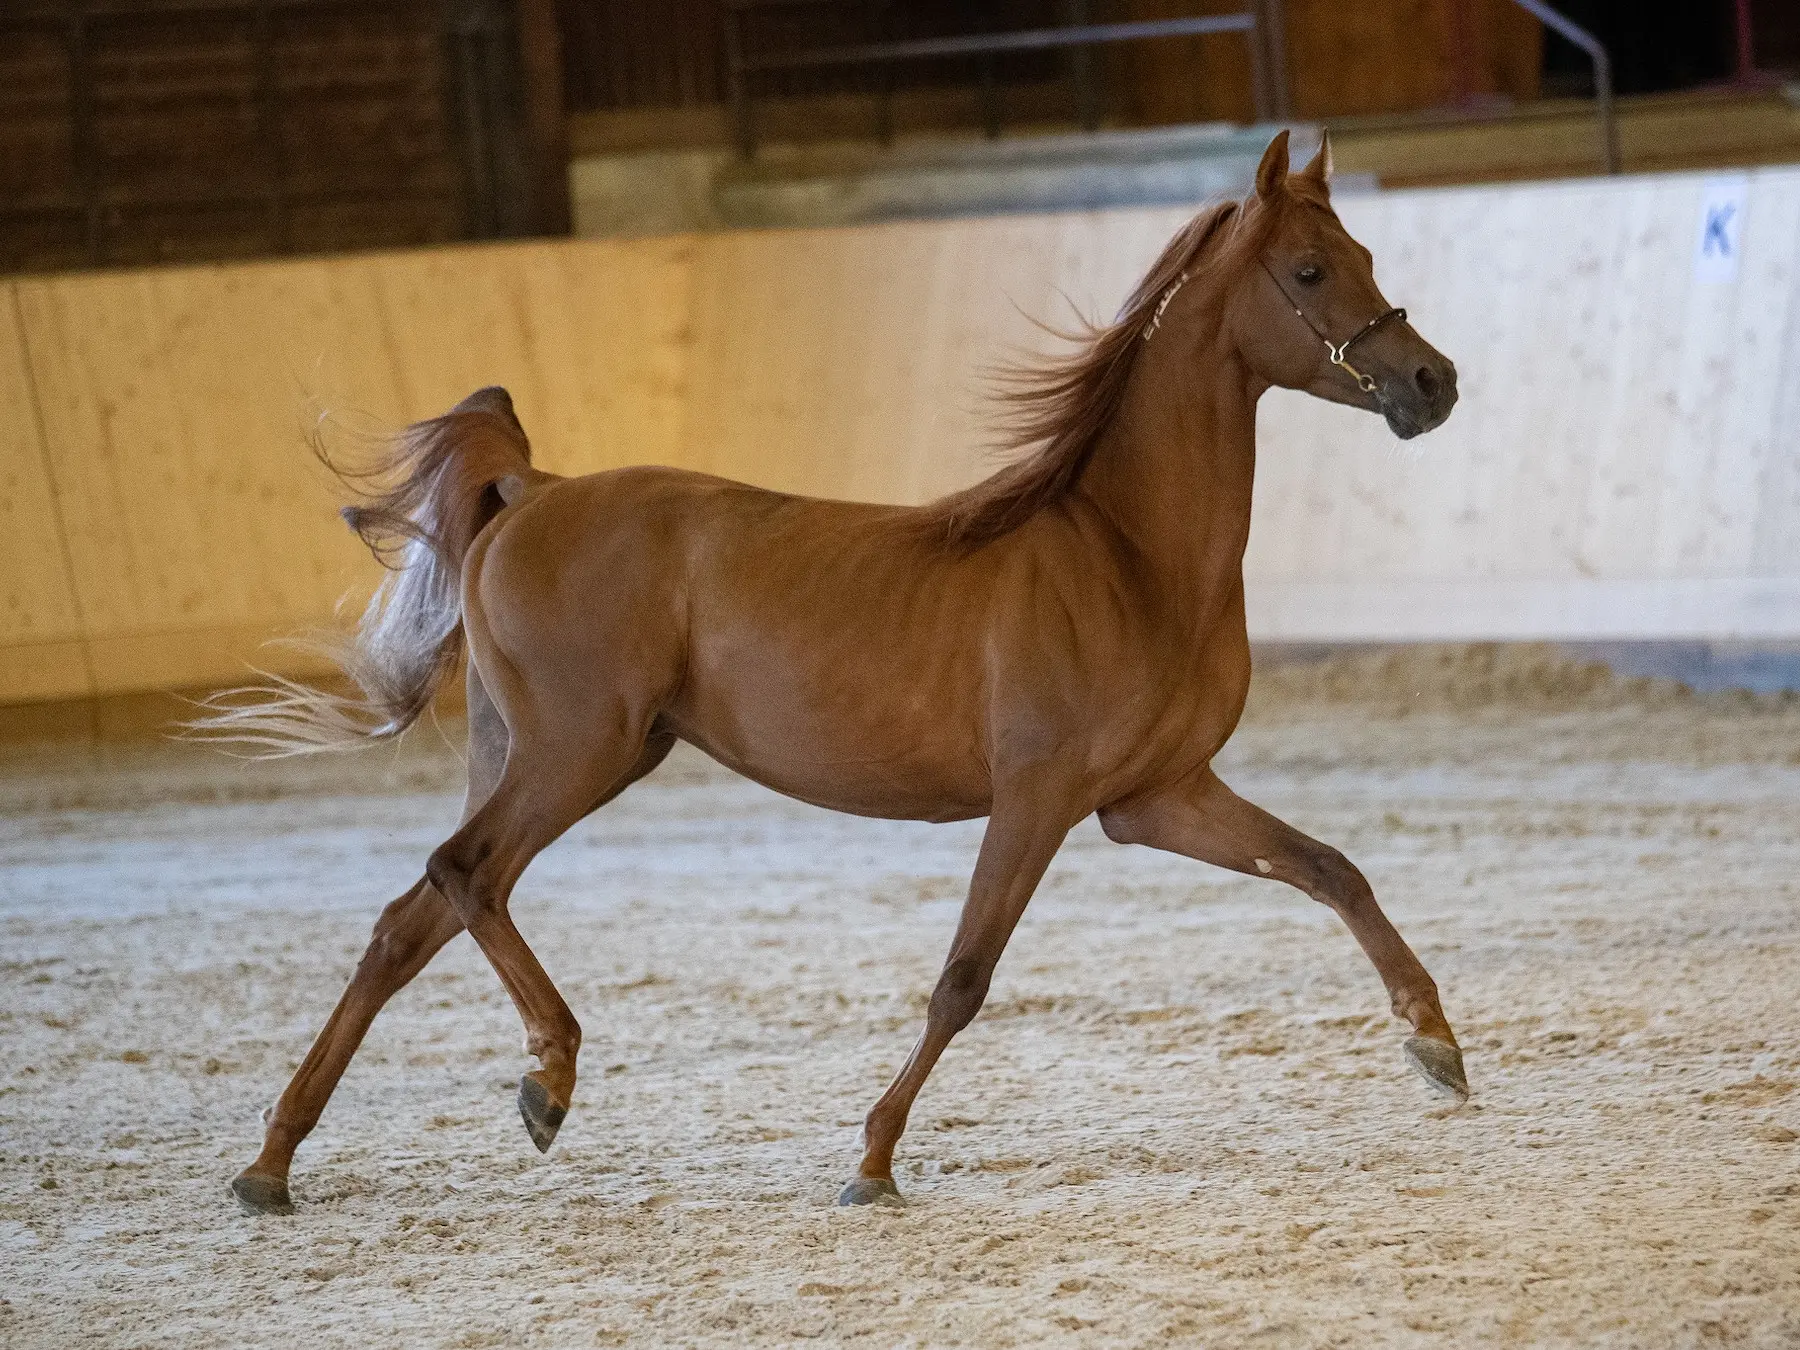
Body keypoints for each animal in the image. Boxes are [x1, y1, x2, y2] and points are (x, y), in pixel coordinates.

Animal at [204, 132, 1461, 1224]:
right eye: (1310, 269)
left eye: (1366, 257)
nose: (1431, 381)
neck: (1125, 554)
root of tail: (533, 489)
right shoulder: (1039, 798)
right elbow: (963, 978)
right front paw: (872, 1161)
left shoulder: (1156, 798)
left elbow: (1332, 870)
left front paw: (1437, 1045)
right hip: (578, 754)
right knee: (464, 877)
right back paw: (546, 1078)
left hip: (547, 757)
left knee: (407, 922)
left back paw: (273, 1162)